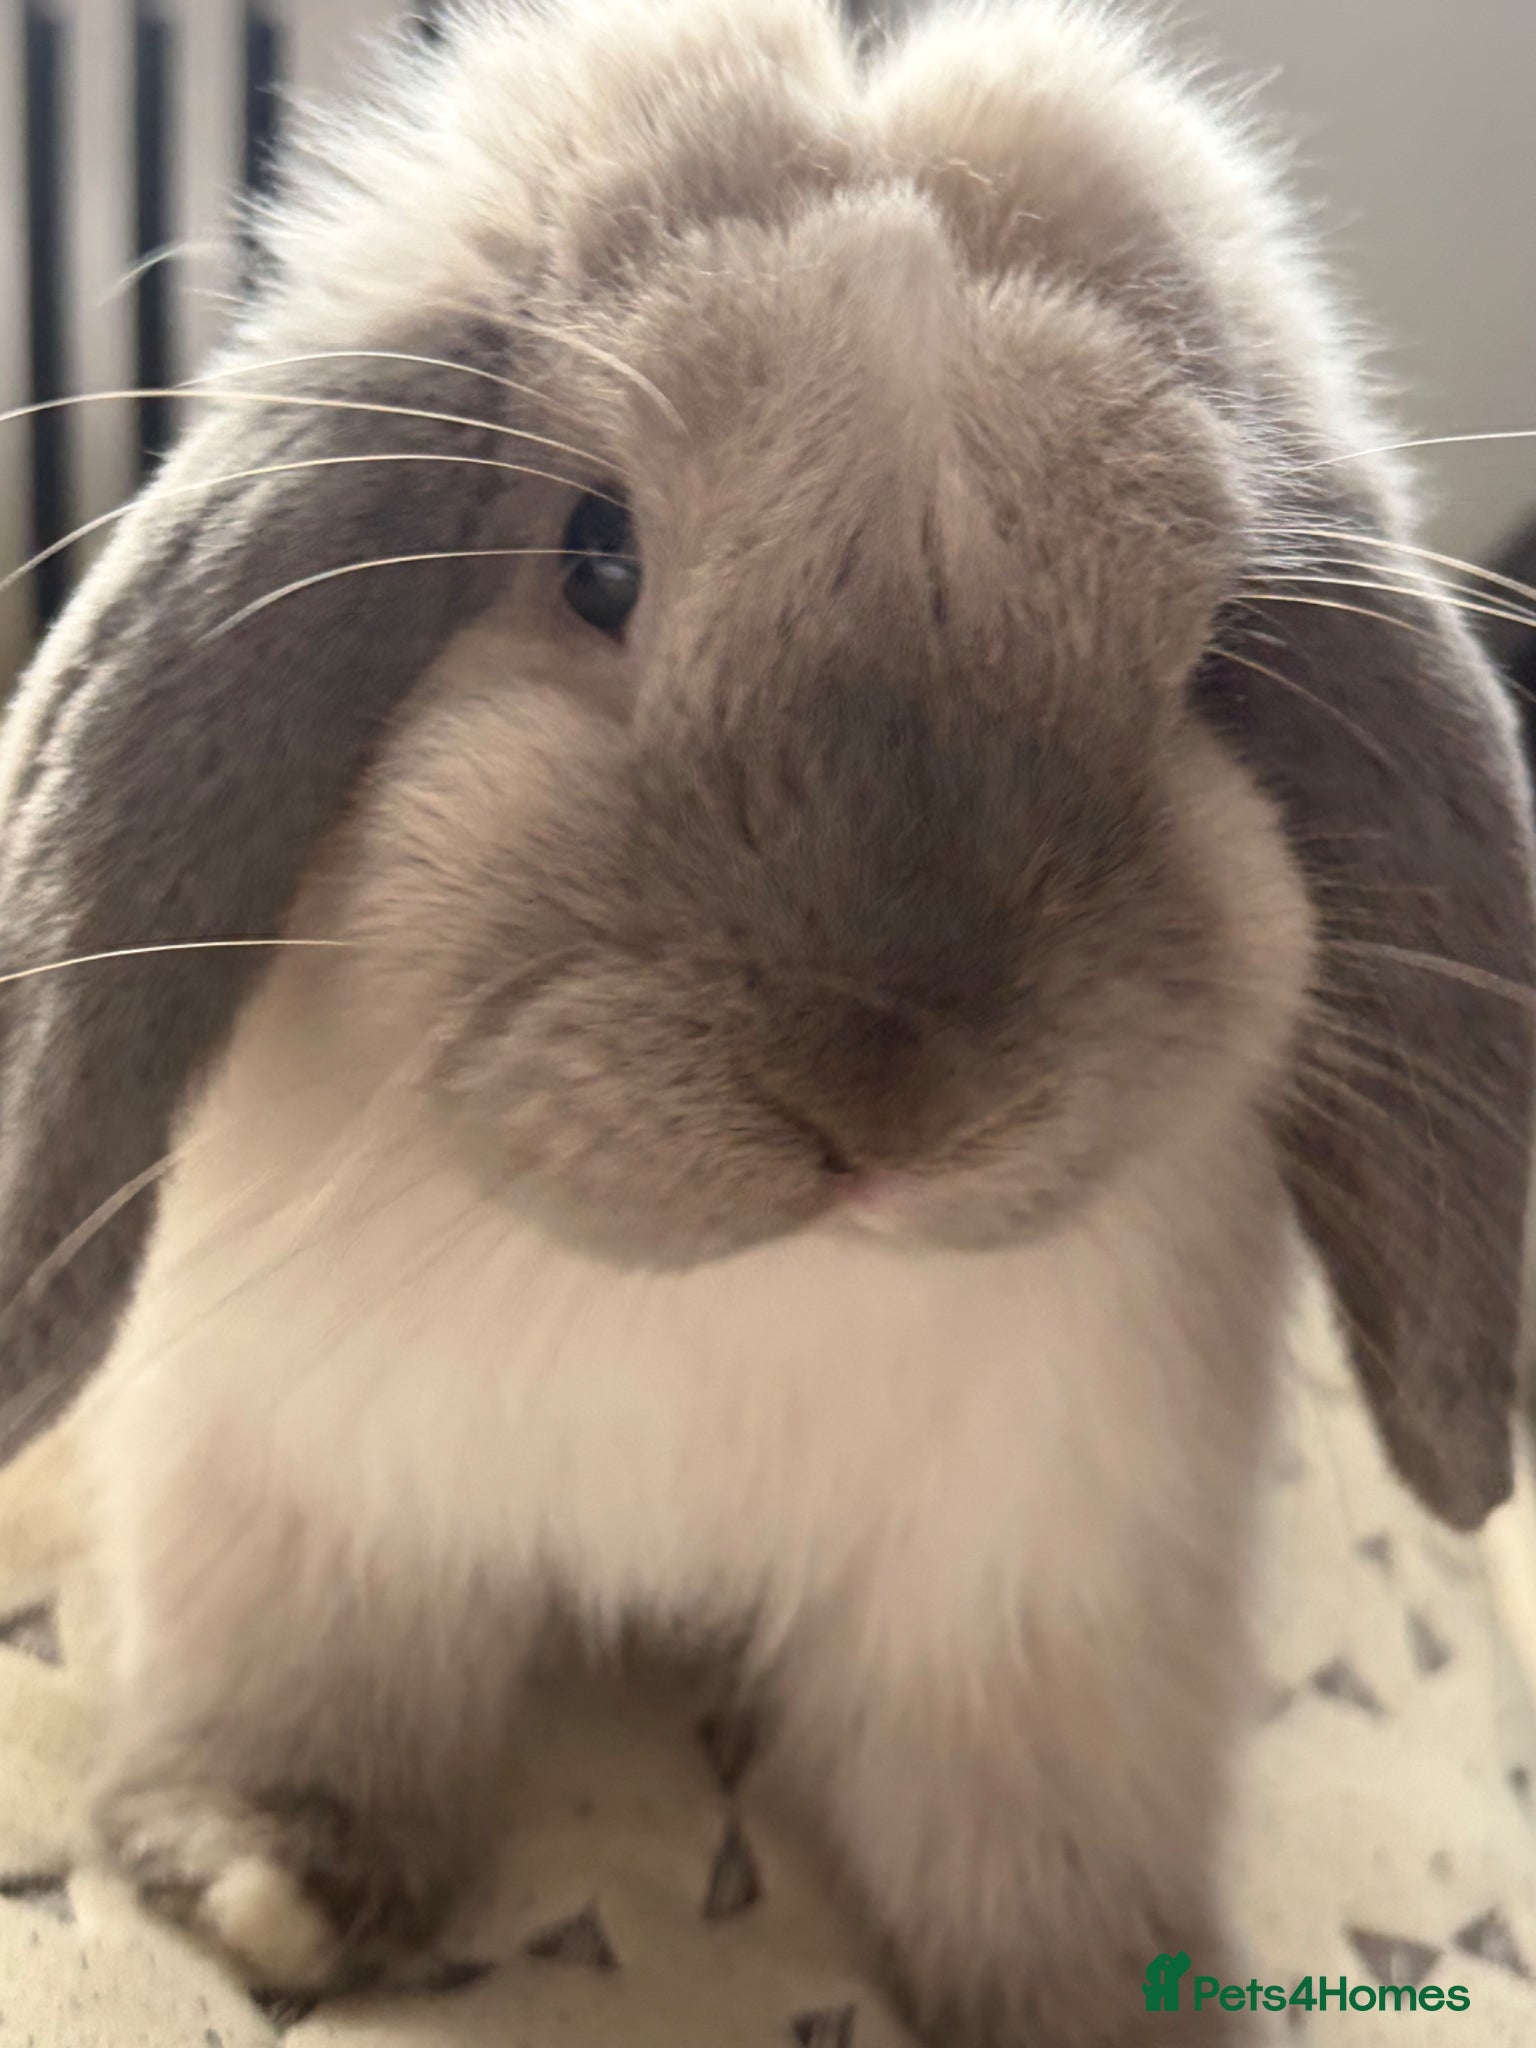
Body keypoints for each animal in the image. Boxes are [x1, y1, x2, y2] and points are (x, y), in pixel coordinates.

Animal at [0, 1, 1532, 2041]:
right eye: (597, 556)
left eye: (1202, 657)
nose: (887, 1103)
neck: (752, 1292)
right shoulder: (316, 1503)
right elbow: (321, 1690)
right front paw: (268, 1890)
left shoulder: (1037, 1600)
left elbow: (1020, 1824)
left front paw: (1108, 2001)